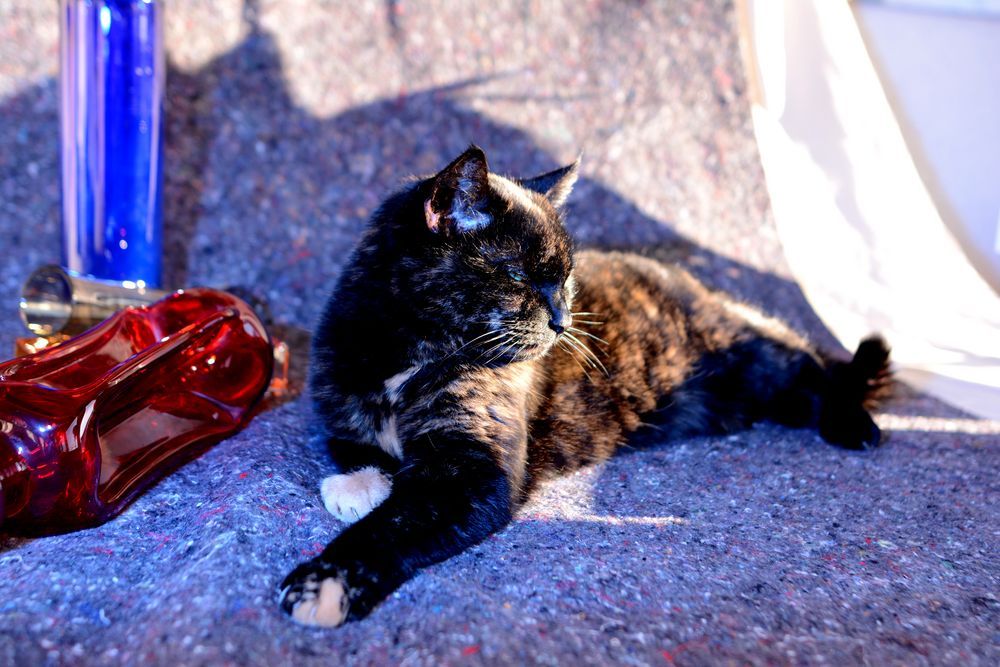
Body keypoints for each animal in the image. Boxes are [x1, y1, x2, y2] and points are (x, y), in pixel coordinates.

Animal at [278, 146, 891, 627]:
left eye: (566, 277)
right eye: (518, 275)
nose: (562, 319)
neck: (410, 354)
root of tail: (700, 286)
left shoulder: (473, 471)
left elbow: (397, 523)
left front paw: (324, 582)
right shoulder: (343, 404)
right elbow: (356, 449)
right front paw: (360, 485)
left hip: (755, 357)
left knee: (814, 368)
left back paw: (854, 423)